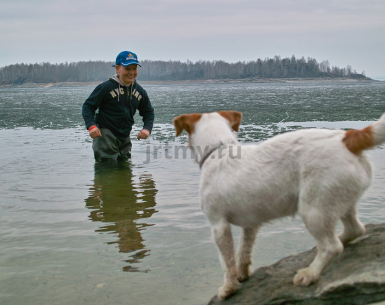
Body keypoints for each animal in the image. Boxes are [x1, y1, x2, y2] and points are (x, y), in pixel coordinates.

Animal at [173, 110, 384, 298]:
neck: (219, 150)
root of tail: (348, 137)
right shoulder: (251, 225)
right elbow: (243, 251)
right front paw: (242, 274)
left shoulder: (219, 226)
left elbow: (227, 262)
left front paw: (228, 288)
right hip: (340, 202)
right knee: (355, 230)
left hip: (313, 210)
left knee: (332, 247)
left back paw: (310, 273)